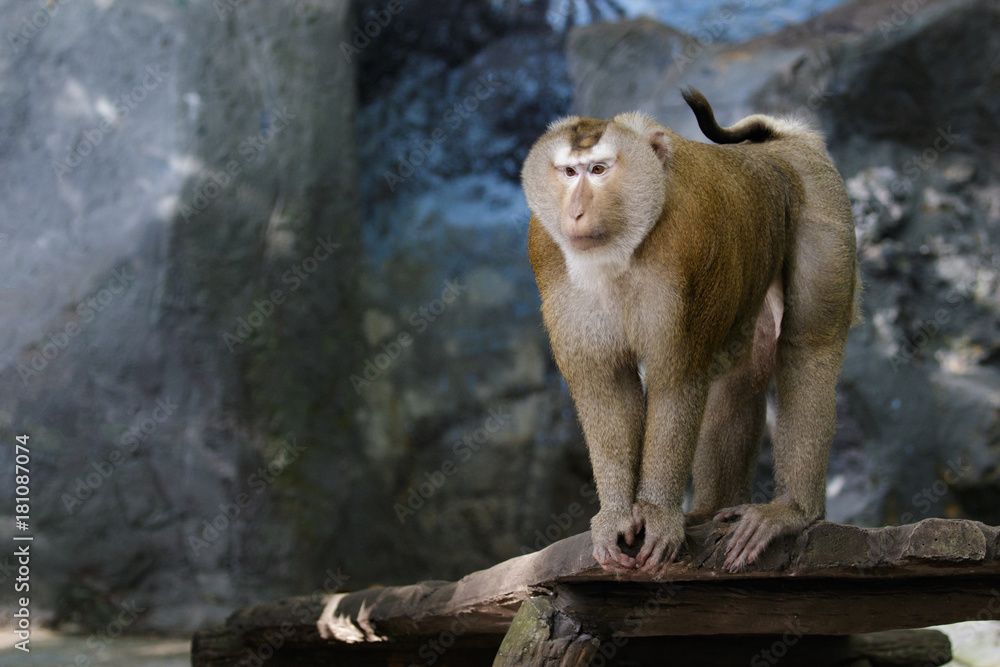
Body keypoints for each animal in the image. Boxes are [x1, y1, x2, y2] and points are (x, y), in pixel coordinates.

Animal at [521, 88, 858, 575]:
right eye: (568, 171)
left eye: (599, 169)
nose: (577, 212)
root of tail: (782, 145)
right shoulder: (546, 252)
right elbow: (606, 386)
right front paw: (618, 515)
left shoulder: (688, 247)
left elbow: (677, 378)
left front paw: (658, 514)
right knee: (741, 374)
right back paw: (711, 508)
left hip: (823, 202)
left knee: (809, 346)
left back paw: (791, 511)